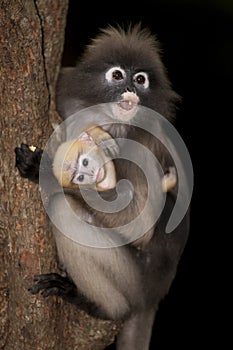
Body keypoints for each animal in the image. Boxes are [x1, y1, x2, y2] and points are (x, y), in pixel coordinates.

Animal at [15, 25, 192, 350]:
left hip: (133, 282)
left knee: (64, 209)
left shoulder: (146, 141)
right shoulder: (66, 90)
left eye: (141, 79)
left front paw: (40, 170)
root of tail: (154, 295)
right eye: (118, 75)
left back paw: (93, 303)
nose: (131, 89)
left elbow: (138, 224)